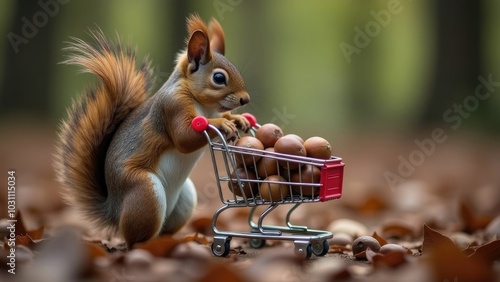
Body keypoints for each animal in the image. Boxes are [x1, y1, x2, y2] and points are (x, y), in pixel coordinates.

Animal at [54, 14, 250, 249]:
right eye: (219, 78)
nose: (245, 99)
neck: (206, 106)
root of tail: (115, 211)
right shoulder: (172, 106)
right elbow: (184, 138)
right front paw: (222, 123)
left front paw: (237, 119)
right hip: (145, 192)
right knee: (135, 240)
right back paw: (148, 246)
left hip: (185, 200)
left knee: (164, 231)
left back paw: (179, 241)